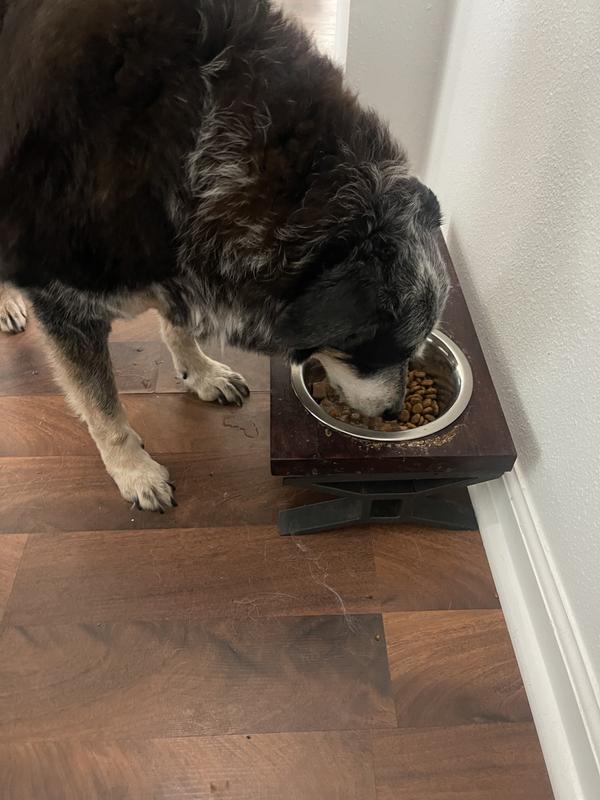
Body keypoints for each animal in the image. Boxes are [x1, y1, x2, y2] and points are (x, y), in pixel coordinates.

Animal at [0, 0, 448, 511]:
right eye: (375, 351)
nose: (394, 413)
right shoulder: (66, 303)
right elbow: (103, 409)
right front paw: (133, 470)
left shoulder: (183, 254)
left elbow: (178, 324)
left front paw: (199, 371)